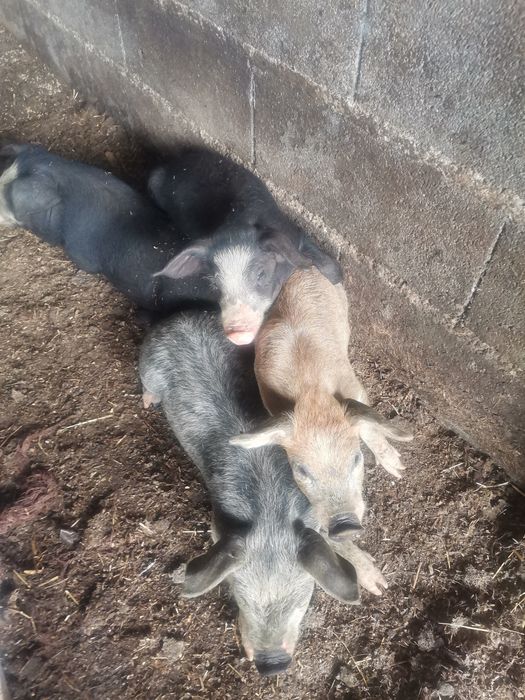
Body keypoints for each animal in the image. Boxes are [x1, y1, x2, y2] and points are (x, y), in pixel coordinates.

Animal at [139, 312, 360, 675]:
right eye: (242, 599)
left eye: (301, 601)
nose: (272, 665)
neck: (270, 513)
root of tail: (178, 317)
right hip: (148, 366)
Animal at [148, 147, 342, 344]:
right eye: (216, 284)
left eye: (261, 273)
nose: (237, 332)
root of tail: (175, 161)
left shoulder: (293, 234)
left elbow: (327, 266)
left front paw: (336, 280)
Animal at [230, 267, 413, 593]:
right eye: (301, 470)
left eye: (357, 460)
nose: (344, 525)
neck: (311, 393)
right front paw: (378, 586)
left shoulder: (355, 390)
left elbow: (369, 426)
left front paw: (399, 469)